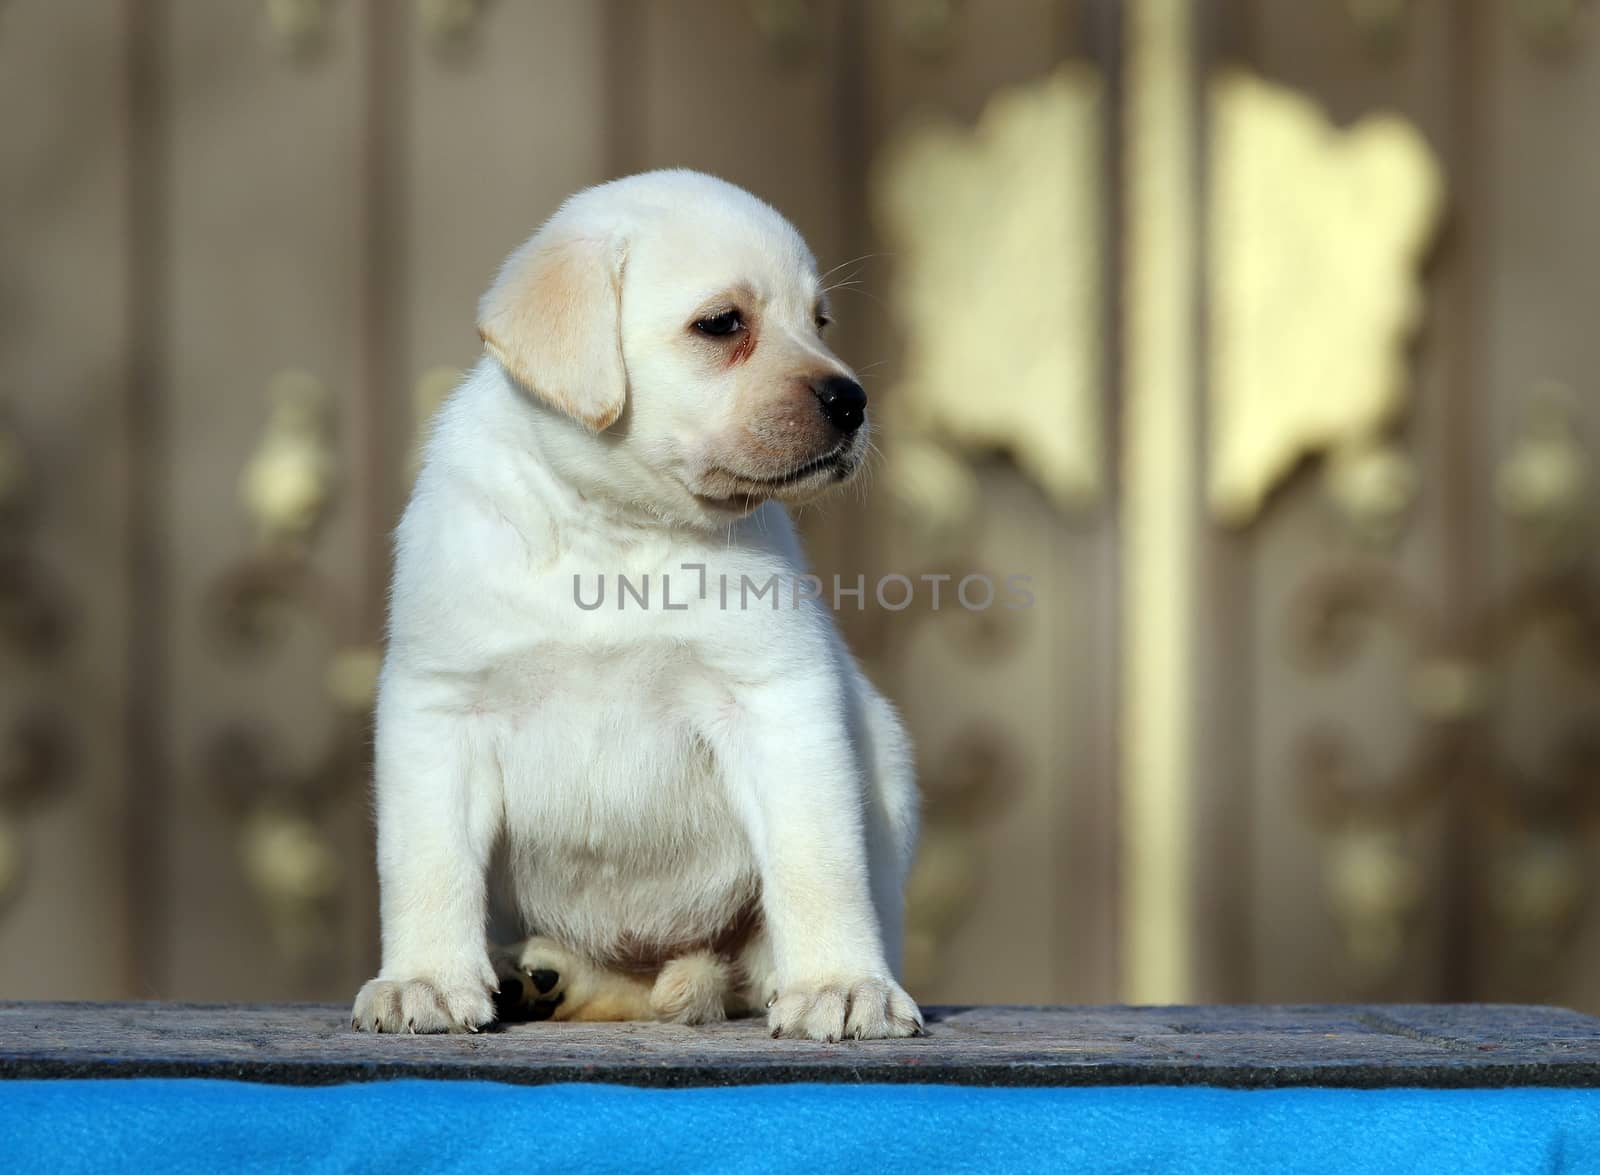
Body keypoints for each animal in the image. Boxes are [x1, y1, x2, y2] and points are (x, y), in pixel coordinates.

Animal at [355, 172, 921, 1037]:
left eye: (819, 321)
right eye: (722, 323)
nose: (853, 400)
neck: (616, 528)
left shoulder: (779, 704)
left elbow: (818, 862)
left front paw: (840, 982)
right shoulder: (439, 708)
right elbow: (427, 864)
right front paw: (425, 979)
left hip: (884, 761)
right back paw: (538, 976)